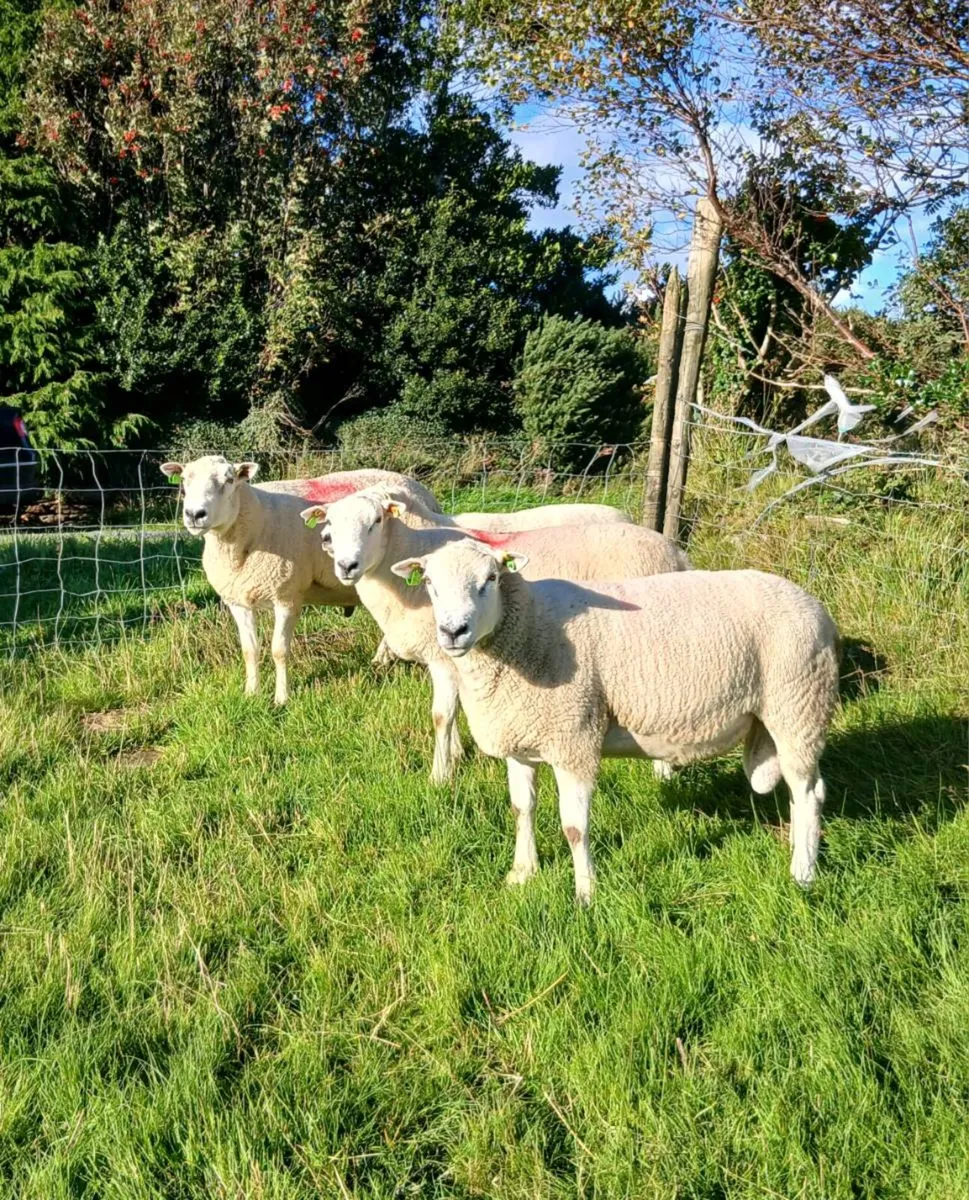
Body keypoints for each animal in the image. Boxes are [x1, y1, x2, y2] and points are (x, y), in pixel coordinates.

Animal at [159, 456, 440, 704]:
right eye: (184, 480)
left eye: (228, 480)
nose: (194, 514)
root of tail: (419, 488)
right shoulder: (237, 600)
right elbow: (249, 650)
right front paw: (251, 694)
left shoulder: (287, 597)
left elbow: (279, 650)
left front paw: (282, 699)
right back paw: (381, 659)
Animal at [299, 488, 690, 783]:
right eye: (330, 524)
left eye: (376, 522)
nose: (346, 566)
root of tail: (676, 552)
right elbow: (455, 708)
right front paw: (456, 753)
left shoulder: (443, 655)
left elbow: (441, 714)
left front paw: (440, 775)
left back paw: (663, 773)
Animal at [390, 538, 841, 903]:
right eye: (428, 582)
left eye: (491, 579)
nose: (453, 631)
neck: (527, 629)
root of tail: (816, 607)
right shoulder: (521, 740)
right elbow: (521, 809)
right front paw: (522, 874)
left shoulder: (574, 739)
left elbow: (574, 827)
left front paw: (586, 894)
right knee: (800, 794)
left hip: (798, 706)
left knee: (809, 794)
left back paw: (803, 873)